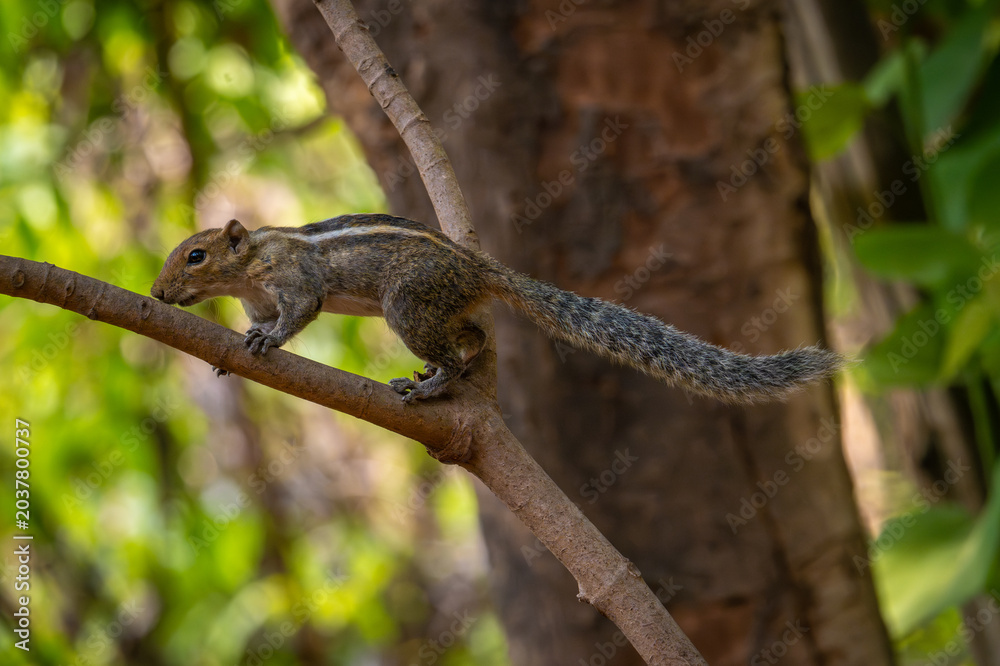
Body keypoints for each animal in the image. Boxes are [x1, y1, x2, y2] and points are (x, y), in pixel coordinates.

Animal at [151, 213, 842, 403]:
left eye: (195, 255)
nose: (156, 295)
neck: (248, 268)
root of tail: (481, 270)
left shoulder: (293, 279)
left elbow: (300, 311)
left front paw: (270, 343)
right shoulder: (256, 299)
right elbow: (262, 320)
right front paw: (238, 350)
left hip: (408, 307)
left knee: (459, 353)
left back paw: (434, 384)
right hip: (438, 309)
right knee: (475, 336)